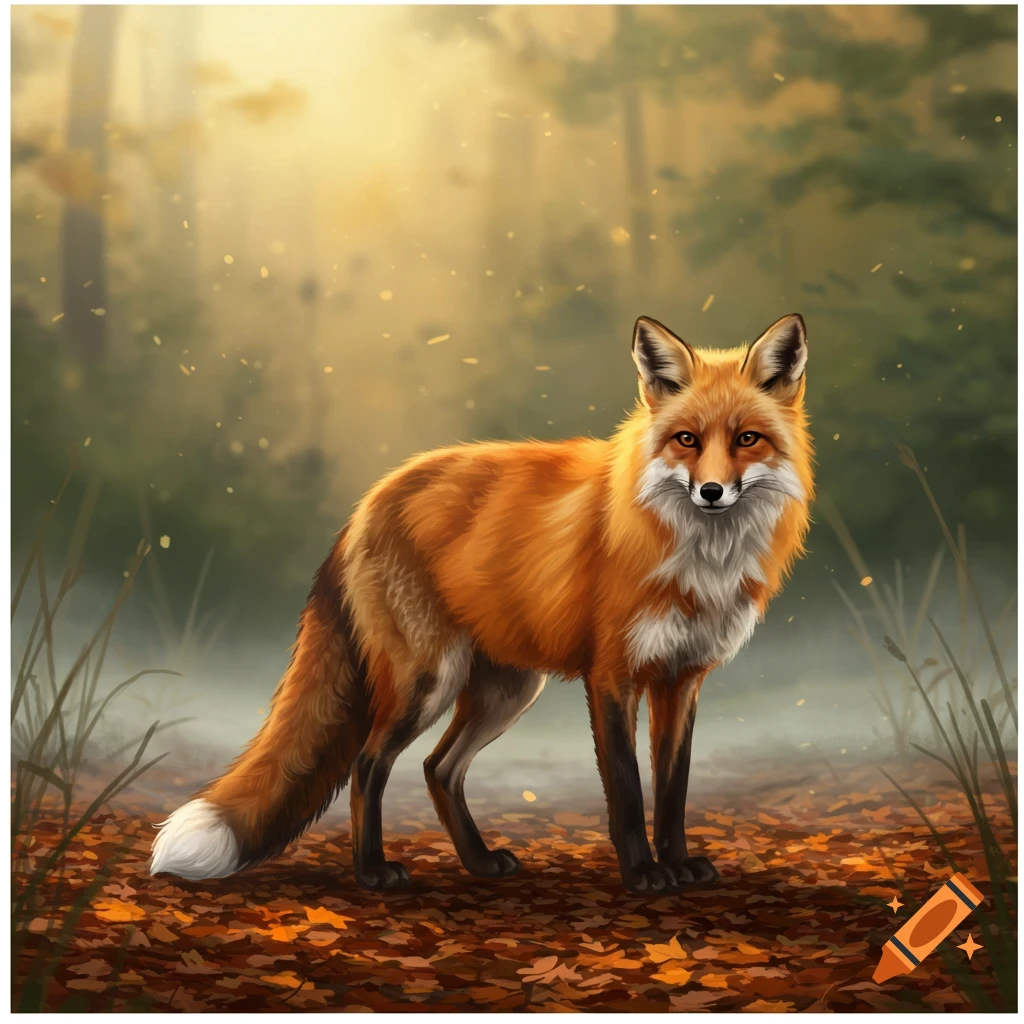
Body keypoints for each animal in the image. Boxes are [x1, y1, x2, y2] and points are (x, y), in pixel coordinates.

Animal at [150, 312, 813, 895]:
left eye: (747, 440)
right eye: (686, 440)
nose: (711, 491)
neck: (697, 560)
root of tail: (368, 501)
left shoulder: (681, 679)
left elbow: (673, 791)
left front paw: (677, 864)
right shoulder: (612, 677)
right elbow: (627, 791)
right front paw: (644, 875)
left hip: (507, 689)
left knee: (438, 768)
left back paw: (477, 861)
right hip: (428, 680)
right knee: (369, 766)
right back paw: (373, 873)